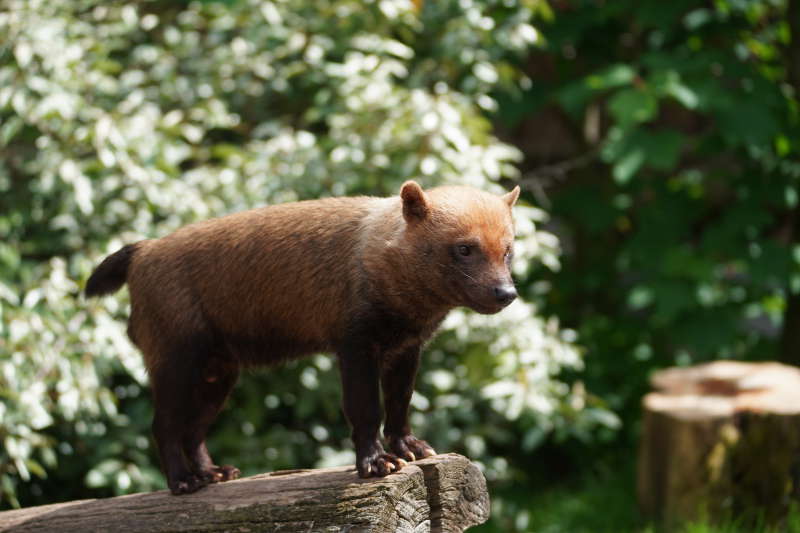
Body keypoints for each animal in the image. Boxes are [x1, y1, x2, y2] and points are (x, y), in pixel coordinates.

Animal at [86, 181, 520, 492]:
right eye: (464, 248)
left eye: (508, 250)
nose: (506, 293)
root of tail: (144, 250)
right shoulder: (355, 345)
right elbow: (365, 409)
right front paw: (376, 463)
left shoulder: (406, 348)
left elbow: (400, 404)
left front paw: (409, 449)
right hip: (176, 363)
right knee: (164, 426)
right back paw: (183, 482)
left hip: (217, 374)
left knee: (193, 430)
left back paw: (213, 474)